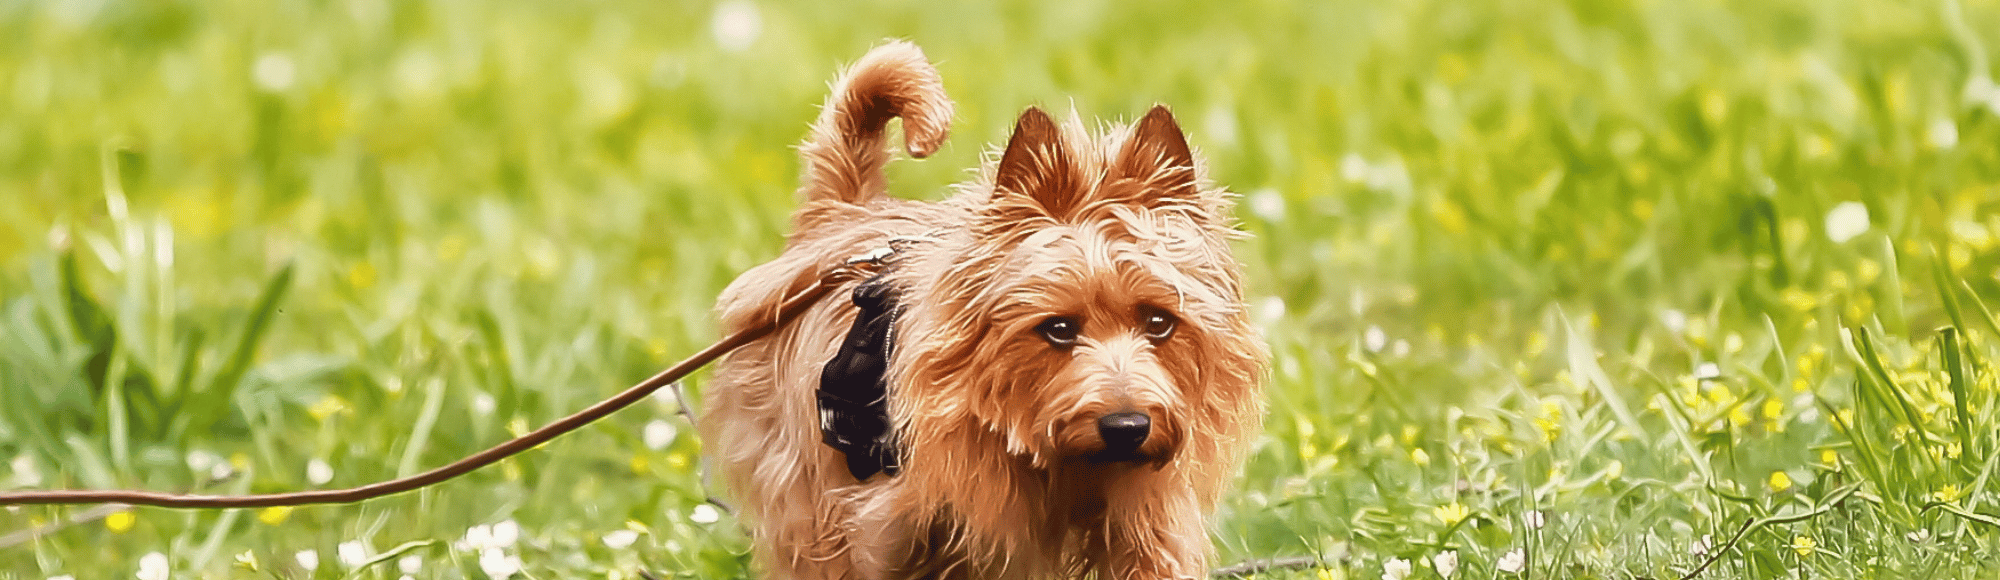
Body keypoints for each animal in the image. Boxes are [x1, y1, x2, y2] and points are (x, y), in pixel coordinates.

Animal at [704, 40, 1264, 580]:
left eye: (1159, 322)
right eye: (1058, 329)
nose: (1127, 427)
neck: (1057, 460)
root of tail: (840, 214)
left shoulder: (1148, 528)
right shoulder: (889, 527)